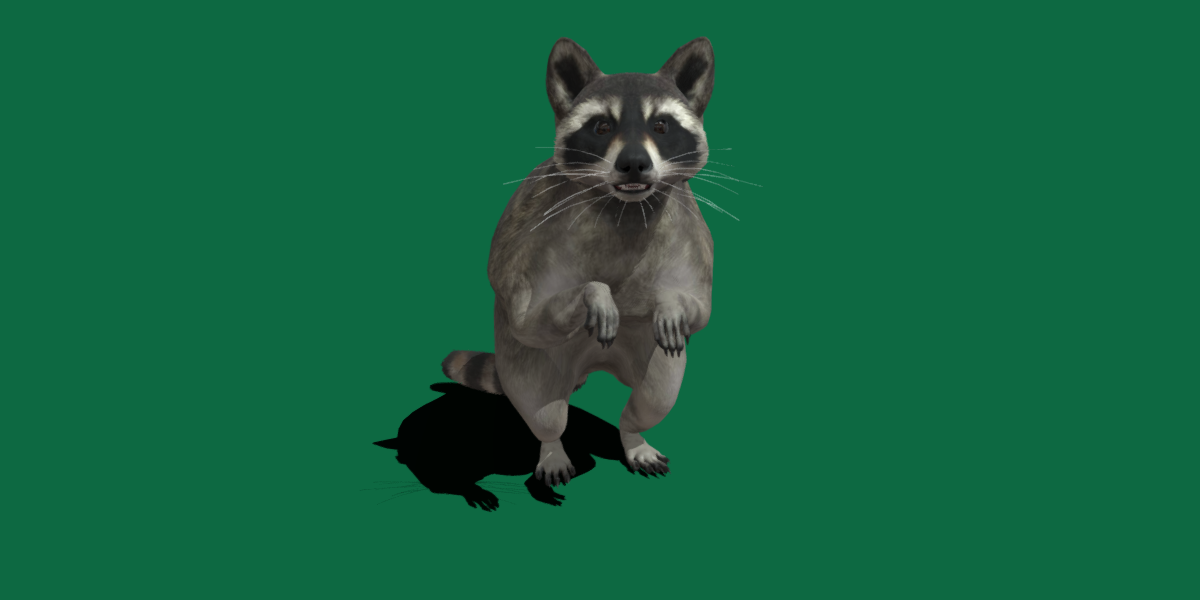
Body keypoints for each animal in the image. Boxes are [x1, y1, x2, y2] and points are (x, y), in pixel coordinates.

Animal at [442, 37, 716, 488]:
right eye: (601, 127)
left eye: (661, 126)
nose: (634, 163)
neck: (626, 208)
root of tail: (593, 367)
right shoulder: (537, 238)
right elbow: (529, 316)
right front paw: (595, 294)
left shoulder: (690, 234)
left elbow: (700, 308)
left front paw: (672, 303)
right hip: (525, 361)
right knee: (544, 409)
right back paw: (552, 446)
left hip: (651, 356)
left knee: (656, 397)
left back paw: (633, 435)